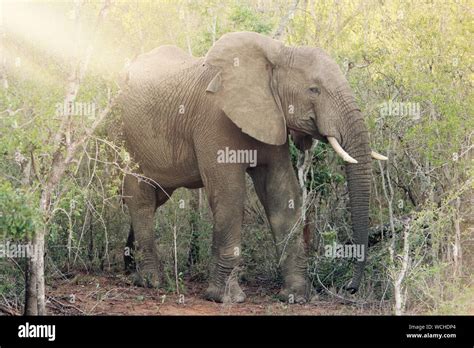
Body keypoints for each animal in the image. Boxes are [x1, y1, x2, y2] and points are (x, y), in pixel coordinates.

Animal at [117, 33, 386, 304]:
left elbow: (282, 193)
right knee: (140, 197)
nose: (350, 288)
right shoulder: (215, 120)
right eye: (314, 90)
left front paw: (295, 297)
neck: (278, 55)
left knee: (154, 198)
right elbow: (230, 194)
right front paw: (226, 298)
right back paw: (151, 281)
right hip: (126, 136)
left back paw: (132, 272)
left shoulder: (274, 118)